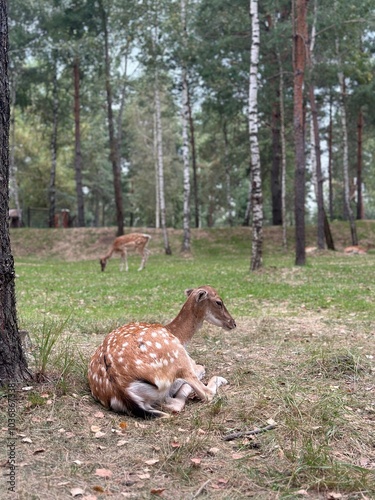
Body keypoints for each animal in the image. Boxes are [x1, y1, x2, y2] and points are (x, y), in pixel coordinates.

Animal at [86, 286, 236, 418]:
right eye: (219, 302)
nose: (233, 323)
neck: (180, 336)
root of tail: (121, 389)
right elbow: (201, 368)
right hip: (177, 356)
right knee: (203, 394)